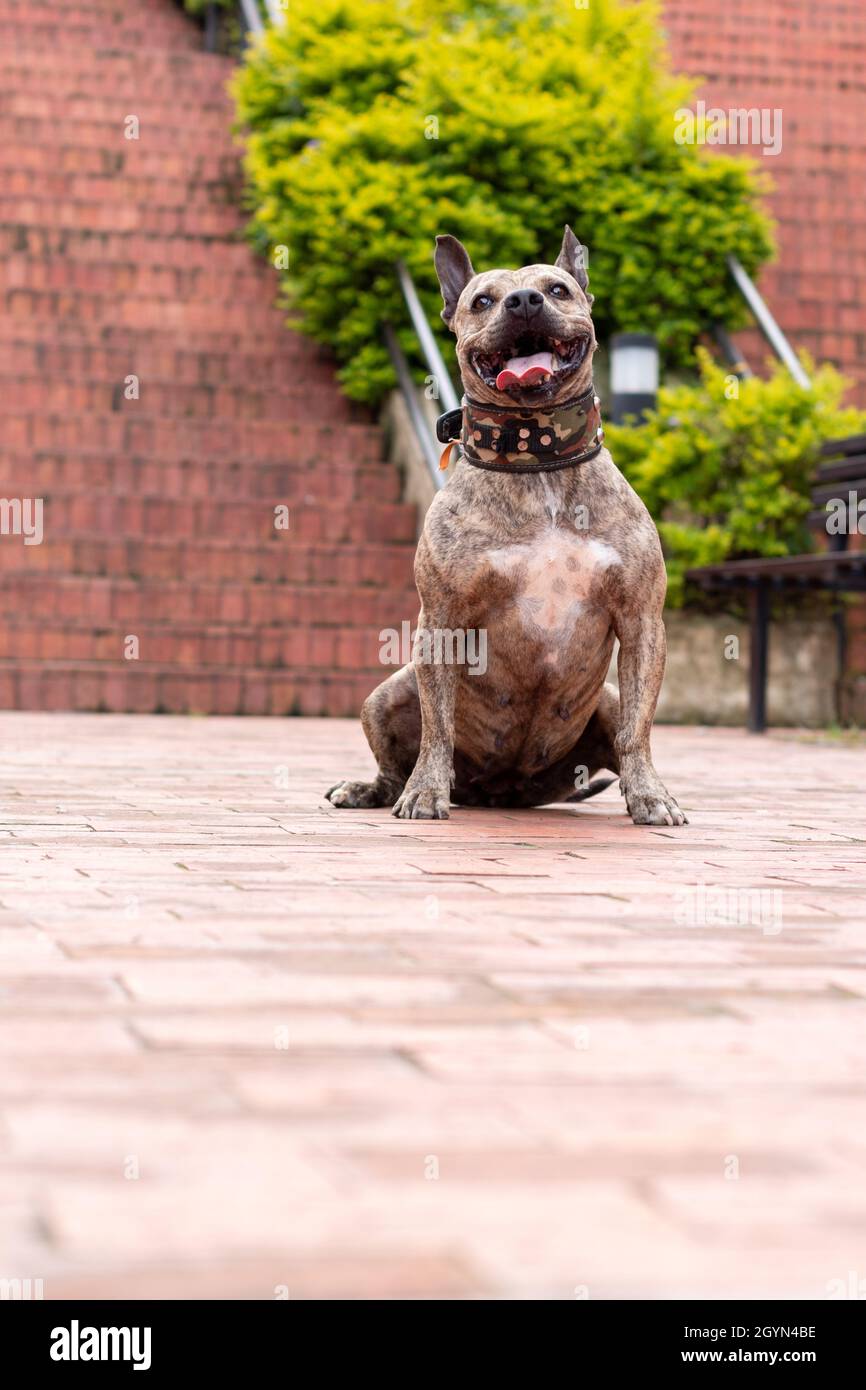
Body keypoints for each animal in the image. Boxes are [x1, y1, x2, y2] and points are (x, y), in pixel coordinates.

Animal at [328, 227, 686, 822]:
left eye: (558, 289)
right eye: (482, 301)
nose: (523, 301)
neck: (536, 457)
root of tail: (504, 790)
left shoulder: (641, 623)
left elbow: (639, 730)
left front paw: (652, 796)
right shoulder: (441, 622)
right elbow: (437, 727)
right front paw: (425, 792)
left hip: (603, 703)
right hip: (385, 696)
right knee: (395, 760)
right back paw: (373, 789)